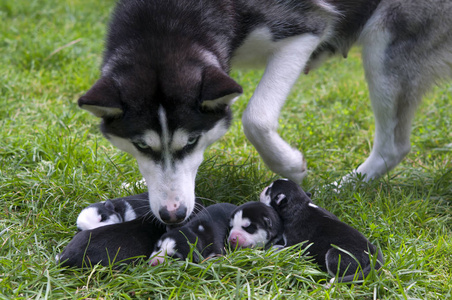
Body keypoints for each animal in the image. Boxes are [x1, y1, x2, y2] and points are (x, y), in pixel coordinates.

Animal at [78, 0, 452, 224]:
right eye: (141, 145)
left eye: (193, 140)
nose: (173, 214)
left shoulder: (304, 30)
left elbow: (254, 117)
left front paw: (290, 165)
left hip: (383, 49)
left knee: (393, 146)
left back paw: (337, 189)